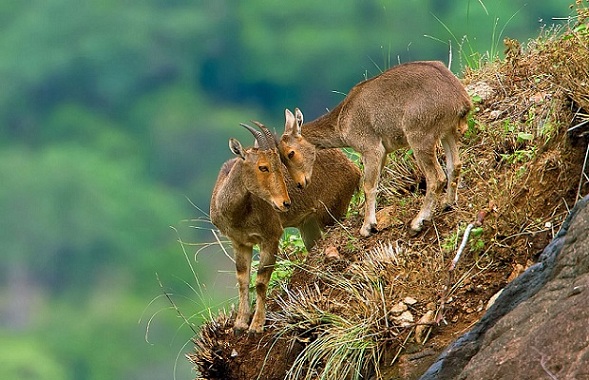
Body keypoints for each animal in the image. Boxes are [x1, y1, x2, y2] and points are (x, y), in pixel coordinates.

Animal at [209, 122, 360, 332]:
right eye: (263, 167)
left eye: (279, 165)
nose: (284, 203)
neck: (238, 213)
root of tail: (354, 168)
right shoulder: (239, 242)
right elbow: (242, 279)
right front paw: (240, 323)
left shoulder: (271, 236)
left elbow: (261, 281)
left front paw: (256, 326)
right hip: (309, 225)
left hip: (332, 214)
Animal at [276, 60, 474, 236]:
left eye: (290, 153)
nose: (300, 183)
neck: (342, 120)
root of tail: (461, 100)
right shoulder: (383, 152)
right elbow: (376, 183)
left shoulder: (370, 148)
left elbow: (368, 185)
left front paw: (367, 228)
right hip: (447, 132)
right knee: (454, 165)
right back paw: (448, 203)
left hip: (420, 137)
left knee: (436, 177)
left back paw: (417, 223)